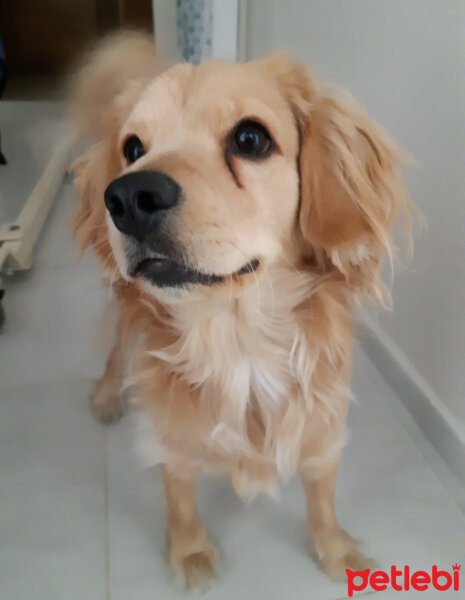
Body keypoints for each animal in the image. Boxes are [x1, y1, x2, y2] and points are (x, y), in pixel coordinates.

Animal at [70, 32, 412, 592]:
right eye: (133, 148)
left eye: (251, 139)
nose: (127, 196)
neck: (238, 339)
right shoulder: (174, 441)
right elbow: (180, 500)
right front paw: (190, 552)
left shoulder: (323, 430)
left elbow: (322, 500)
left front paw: (335, 550)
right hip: (127, 303)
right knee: (119, 345)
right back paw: (105, 394)